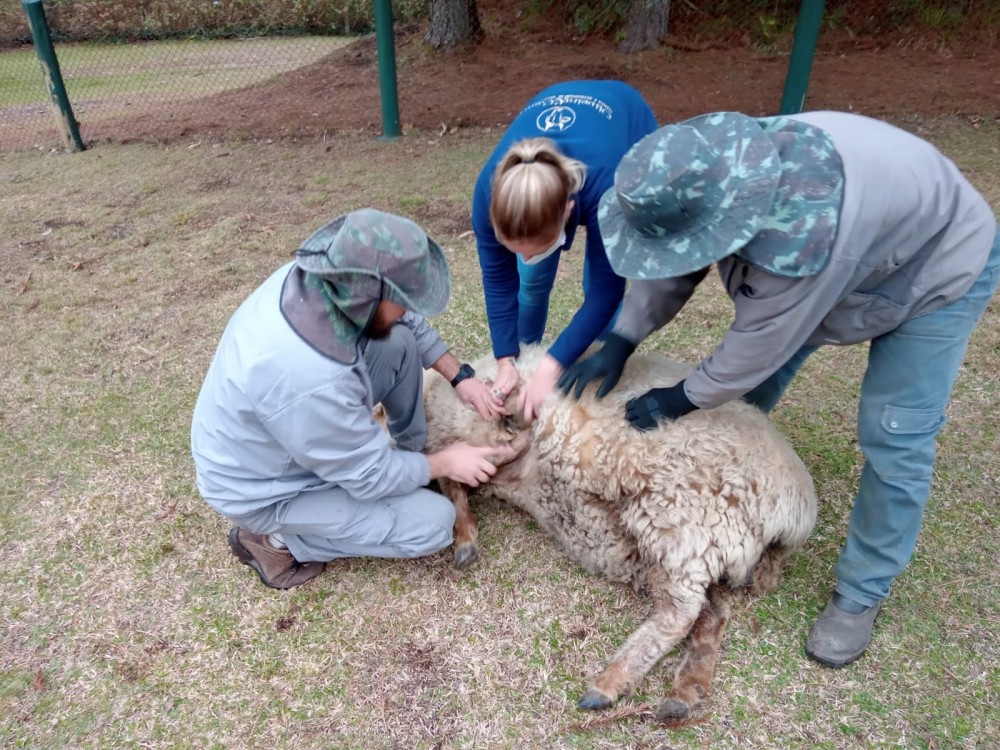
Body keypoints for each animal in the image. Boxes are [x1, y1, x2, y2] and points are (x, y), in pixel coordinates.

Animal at [422, 346, 820, 724]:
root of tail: (795, 510)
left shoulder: (491, 432)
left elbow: (464, 470)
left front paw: (466, 538)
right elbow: (457, 478)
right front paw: (466, 534)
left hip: (680, 518)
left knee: (682, 612)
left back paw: (611, 681)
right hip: (701, 543)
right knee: (712, 612)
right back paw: (685, 691)